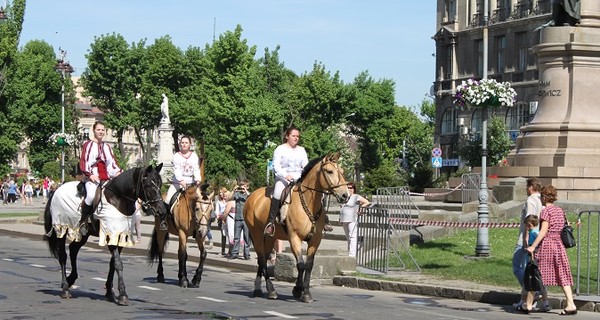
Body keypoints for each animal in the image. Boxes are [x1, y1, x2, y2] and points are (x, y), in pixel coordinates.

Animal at [42, 164, 165, 306]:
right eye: (149, 185)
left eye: (160, 184)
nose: (161, 210)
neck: (118, 200)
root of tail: (56, 191)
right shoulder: (110, 235)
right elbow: (118, 263)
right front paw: (122, 294)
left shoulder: (120, 236)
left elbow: (112, 264)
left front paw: (110, 292)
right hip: (62, 229)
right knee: (63, 255)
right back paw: (65, 288)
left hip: (84, 234)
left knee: (73, 250)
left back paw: (71, 278)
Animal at [243, 152, 350, 302]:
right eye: (329, 171)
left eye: (342, 171)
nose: (345, 195)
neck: (308, 203)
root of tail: (252, 196)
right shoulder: (295, 237)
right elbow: (300, 264)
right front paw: (299, 290)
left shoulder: (315, 240)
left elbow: (309, 266)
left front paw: (305, 292)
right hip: (256, 234)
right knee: (263, 260)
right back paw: (271, 291)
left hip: (269, 237)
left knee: (262, 258)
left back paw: (259, 289)